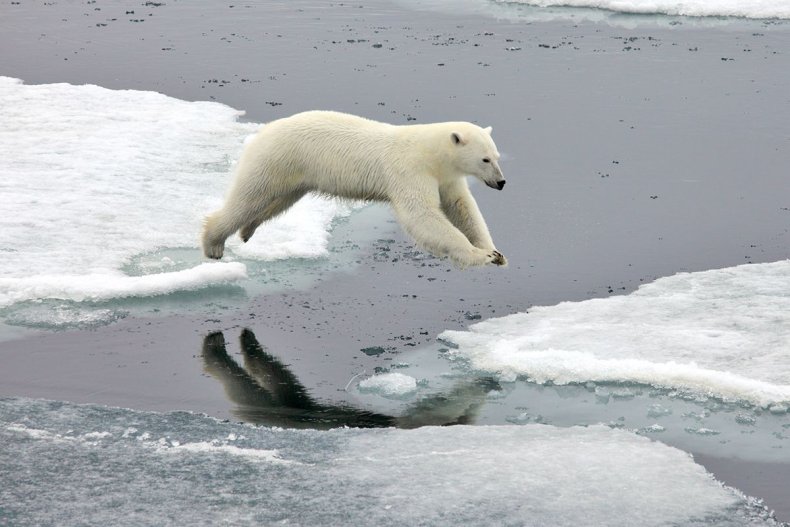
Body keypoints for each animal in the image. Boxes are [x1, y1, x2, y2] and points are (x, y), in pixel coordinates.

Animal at [203, 111, 508, 268]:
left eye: (497, 156)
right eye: (485, 159)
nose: (501, 182)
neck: (430, 152)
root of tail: (262, 131)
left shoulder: (445, 177)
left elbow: (462, 207)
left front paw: (496, 253)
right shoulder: (410, 170)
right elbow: (422, 215)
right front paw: (479, 255)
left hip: (295, 174)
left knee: (277, 202)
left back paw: (247, 230)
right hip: (276, 159)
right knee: (249, 197)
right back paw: (214, 243)